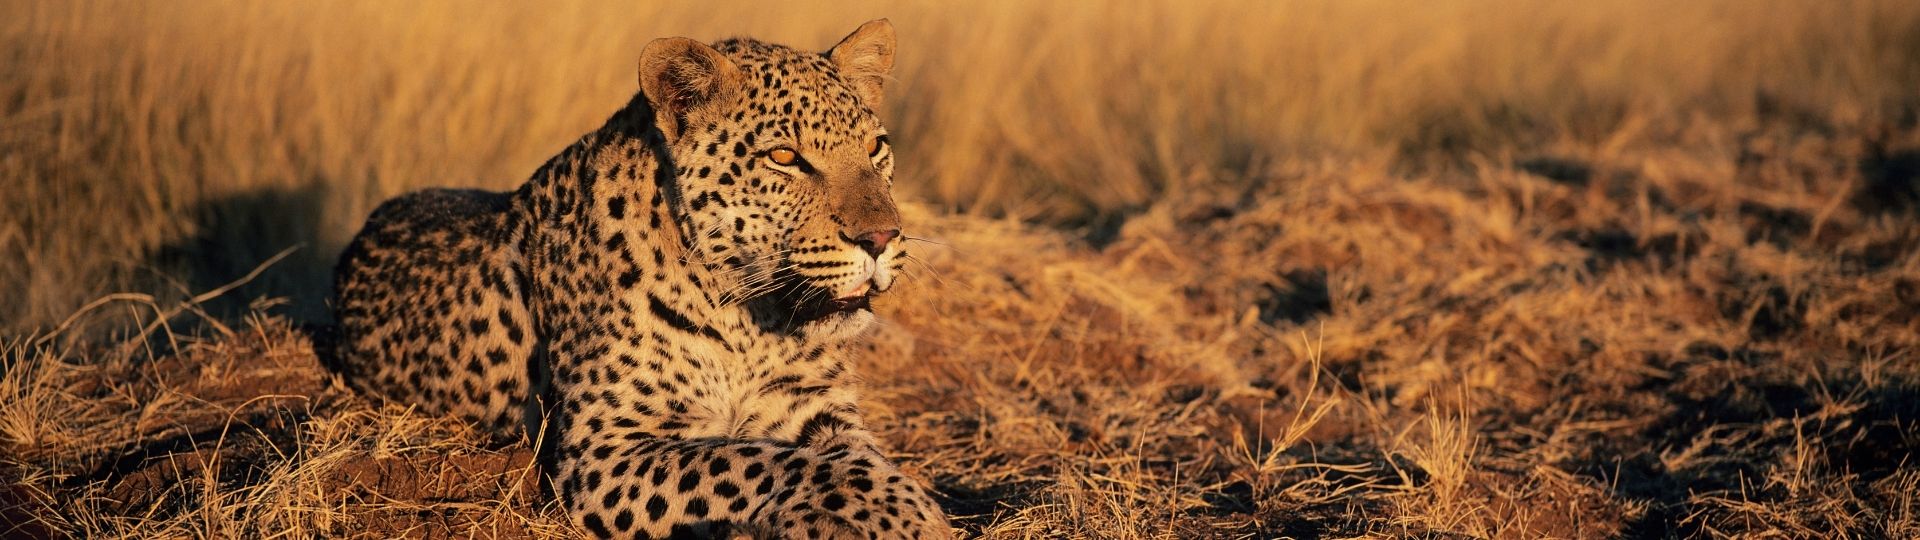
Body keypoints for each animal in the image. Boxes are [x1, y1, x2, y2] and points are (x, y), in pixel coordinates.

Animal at [327, 20, 954, 539]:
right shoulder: (607, 446)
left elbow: (859, 458)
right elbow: (754, 459)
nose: (882, 238)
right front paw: (906, 511)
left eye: (876, 148)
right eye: (784, 157)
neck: (751, 321)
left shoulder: (817, 408)